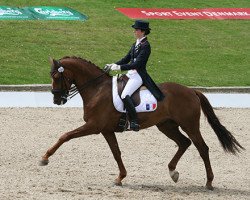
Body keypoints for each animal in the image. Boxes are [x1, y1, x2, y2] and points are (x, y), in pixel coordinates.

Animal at [40, 55, 245, 189]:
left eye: (56, 76)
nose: (56, 100)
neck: (96, 89)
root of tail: (191, 91)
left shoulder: (94, 126)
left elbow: (65, 136)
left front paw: (45, 158)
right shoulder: (106, 130)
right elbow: (116, 153)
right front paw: (120, 178)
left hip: (190, 125)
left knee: (202, 148)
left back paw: (209, 182)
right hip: (166, 125)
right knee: (184, 143)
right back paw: (173, 172)